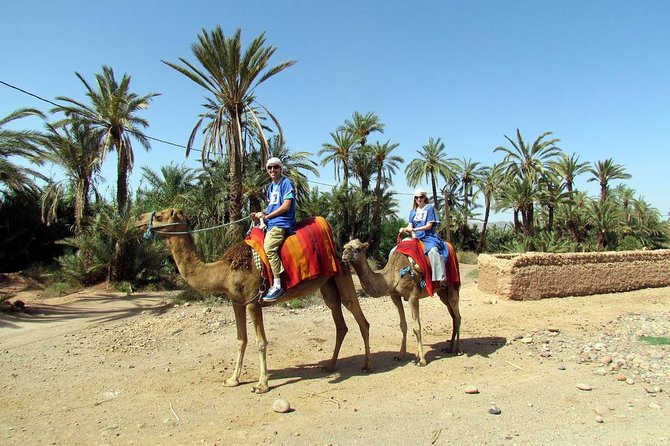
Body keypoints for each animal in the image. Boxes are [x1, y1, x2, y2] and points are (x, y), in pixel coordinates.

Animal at [136, 207, 372, 392]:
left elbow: (260, 342)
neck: (224, 272)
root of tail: (339, 251)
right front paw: (232, 379)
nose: (138, 219)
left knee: (360, 318)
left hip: (342, 276)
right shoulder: (236, 302)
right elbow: (241, 339)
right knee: (339, 321)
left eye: (160, 216)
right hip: (327, 285)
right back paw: (331, 366)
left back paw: (367, 366)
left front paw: (262, 384)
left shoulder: (252, 301)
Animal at [342, 239, 462, 368]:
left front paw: (422, 360)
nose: (344, 255)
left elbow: (417, 327)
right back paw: (449, 348)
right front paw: (400, 355)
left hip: (453, 285)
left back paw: (458, 350)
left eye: (358, 249)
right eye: (344, 246)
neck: (393, 277)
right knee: (453, 315)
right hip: (442, 293)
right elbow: (403, 325)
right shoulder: (394, 296)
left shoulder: (413, 297)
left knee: (457, 316)